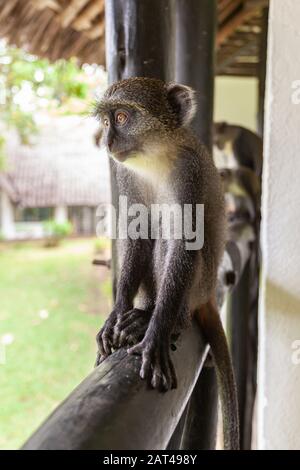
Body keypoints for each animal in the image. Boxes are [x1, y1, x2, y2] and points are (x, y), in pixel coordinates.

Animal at [94, 79, 239, 450]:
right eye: (106, 121)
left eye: (121, 117)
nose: (107, 142)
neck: (156, 157)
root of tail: (206, 295)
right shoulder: (125, 174)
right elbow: (138, 235)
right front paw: (116, 314)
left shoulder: (189, 172)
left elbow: (183, 244)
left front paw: (157, 331)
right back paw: (139, 313)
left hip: (196, 285)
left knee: (169, 242)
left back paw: (164, 319)